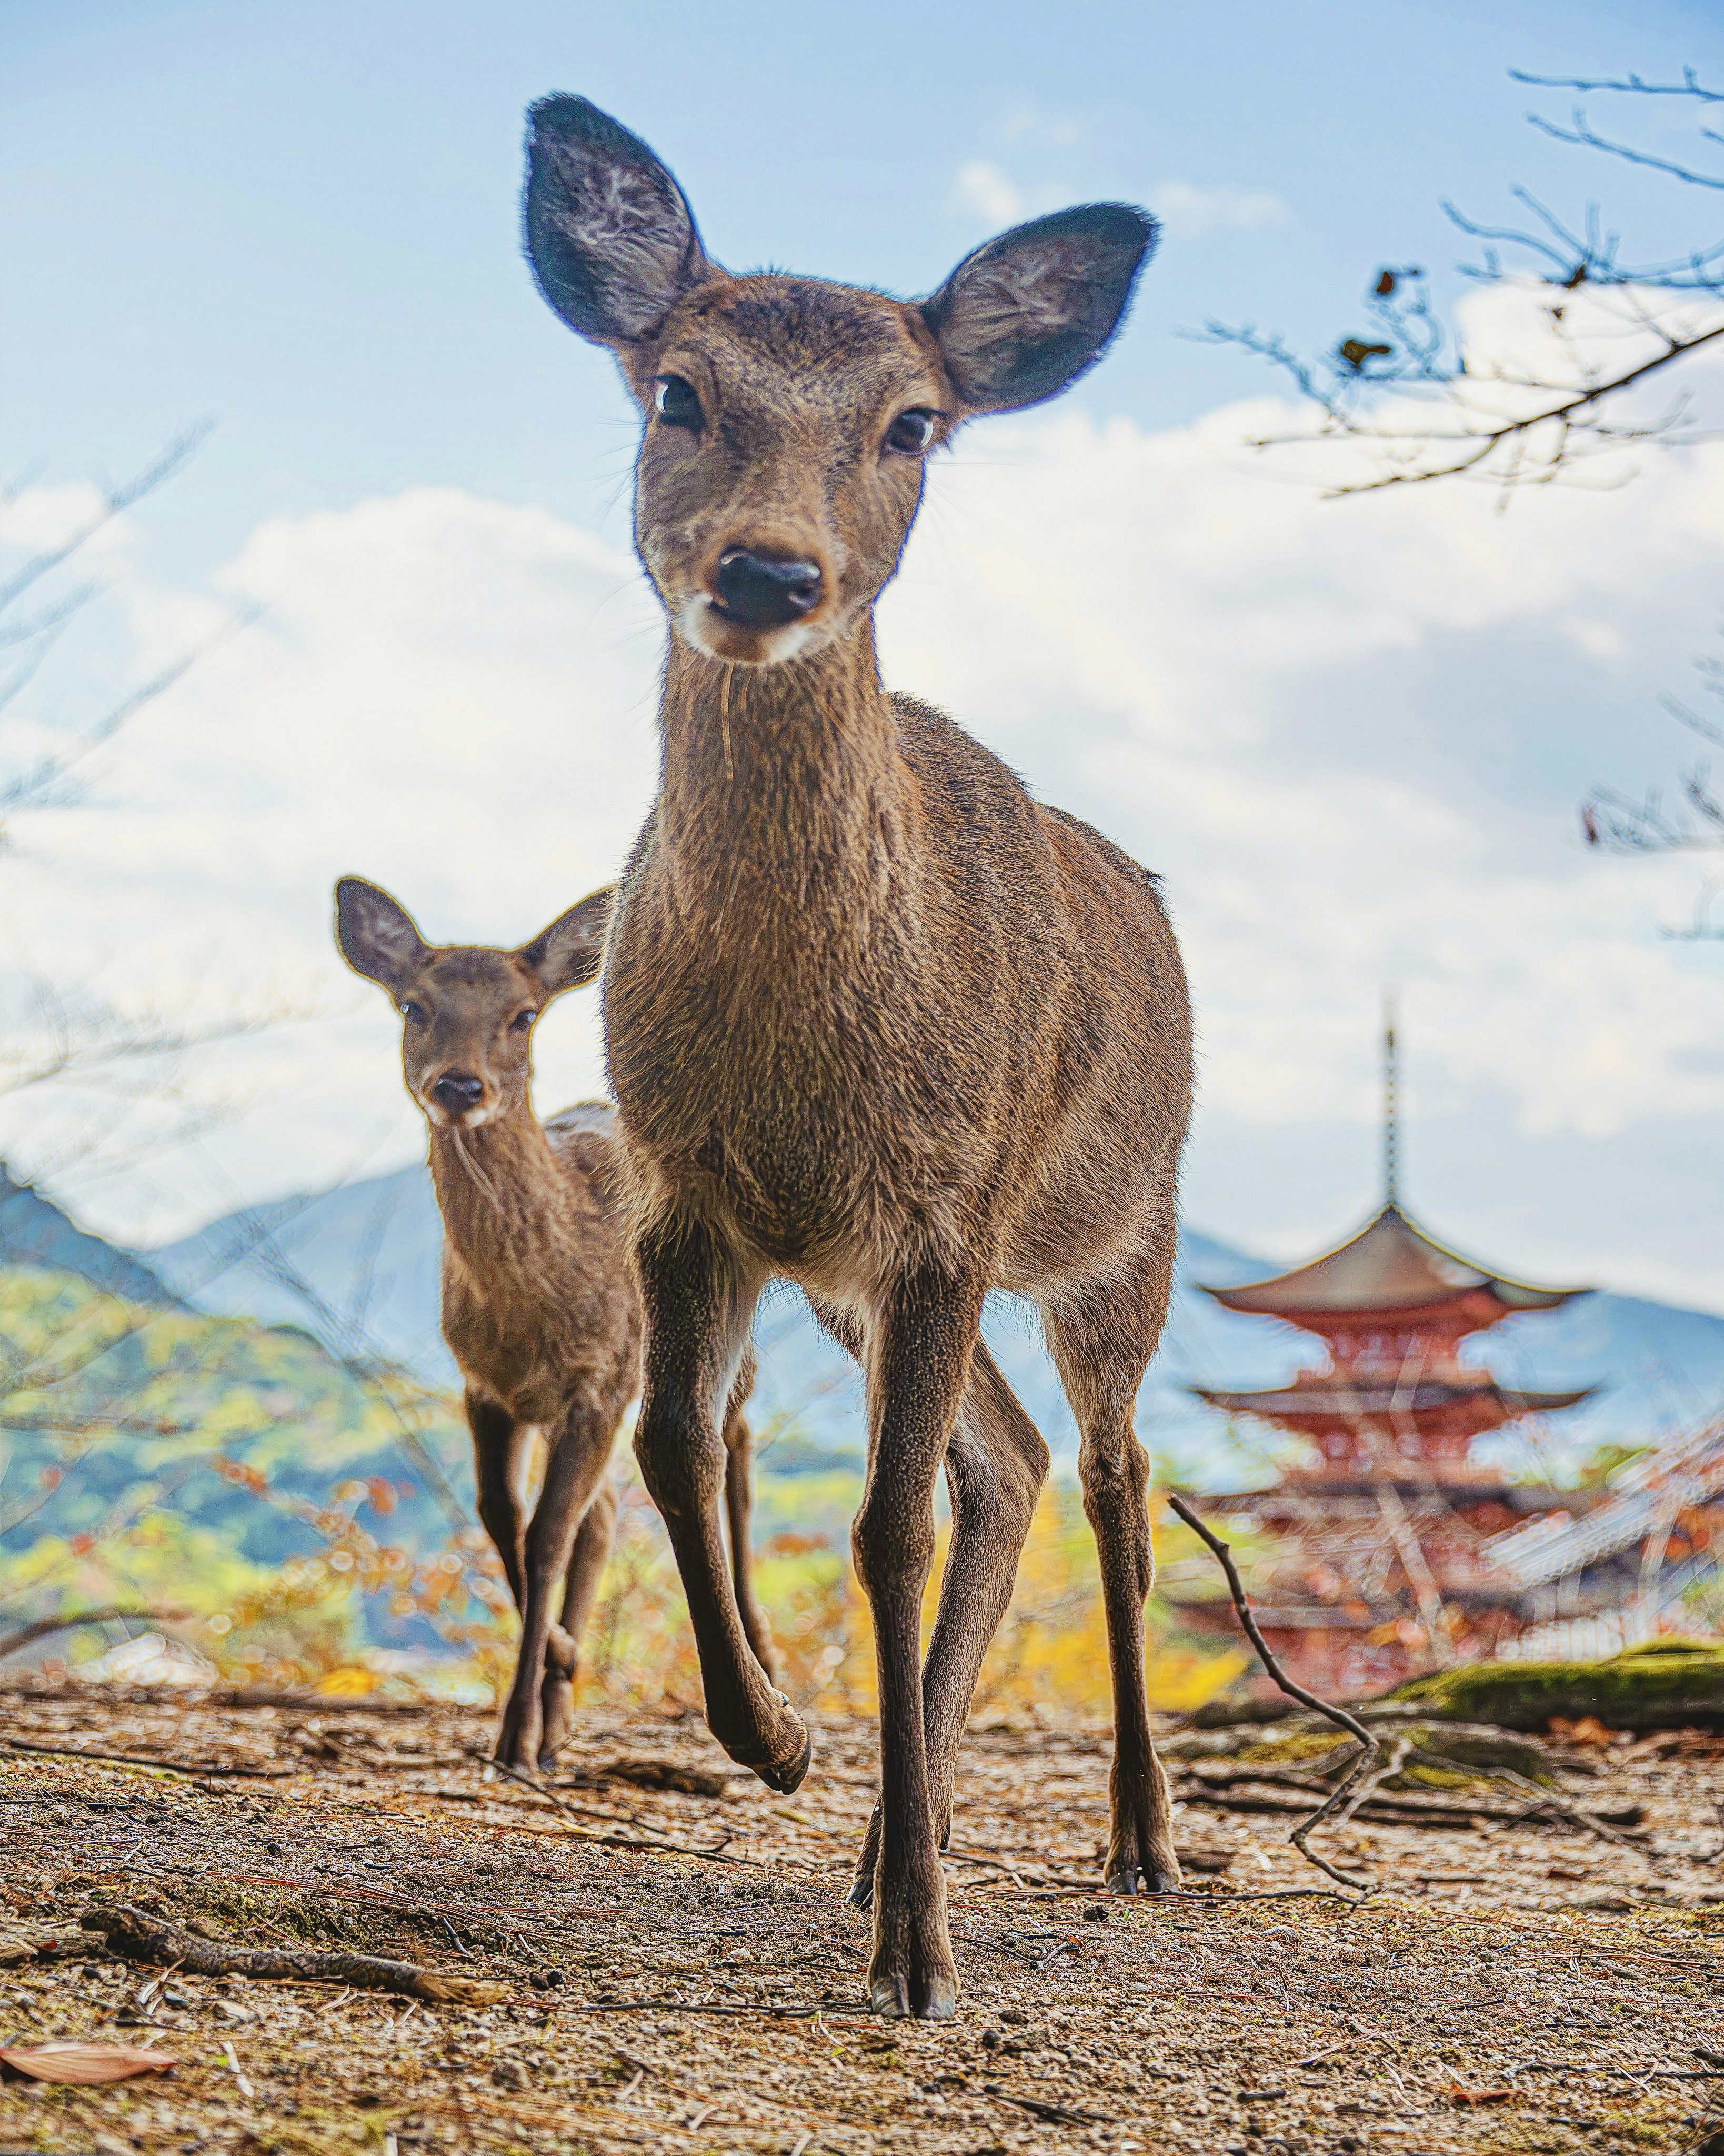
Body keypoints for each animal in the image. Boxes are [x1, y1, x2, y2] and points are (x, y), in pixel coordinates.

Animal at [333, 877, 772, 1772]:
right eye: (413, 1005)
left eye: (523, 1014)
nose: (459, 1087)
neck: (533, 1313)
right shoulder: (484, 1387)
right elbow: (505, 1520)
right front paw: (550, 1685)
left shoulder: (601, 1380)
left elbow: (544, 1536)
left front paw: (516, 1731)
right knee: (600, 1520)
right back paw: (563, 1705)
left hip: (722, 1348)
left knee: (738, 1458)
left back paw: (760, 1654)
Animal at [521, 95, 1191, 2018]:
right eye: (676, 387)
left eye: (911, 423)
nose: (766, 570)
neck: (798, 1058)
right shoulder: (691, 1193)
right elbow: (677, 1451)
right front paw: (782, 1743)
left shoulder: (949, 1198)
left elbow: (881, 1528)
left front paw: (920, 1952)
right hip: (857, 1287)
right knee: (1010, 1464)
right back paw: (903, 1827)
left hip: (1120, 1235)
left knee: (1111, 1476)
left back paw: (1134, 1835)